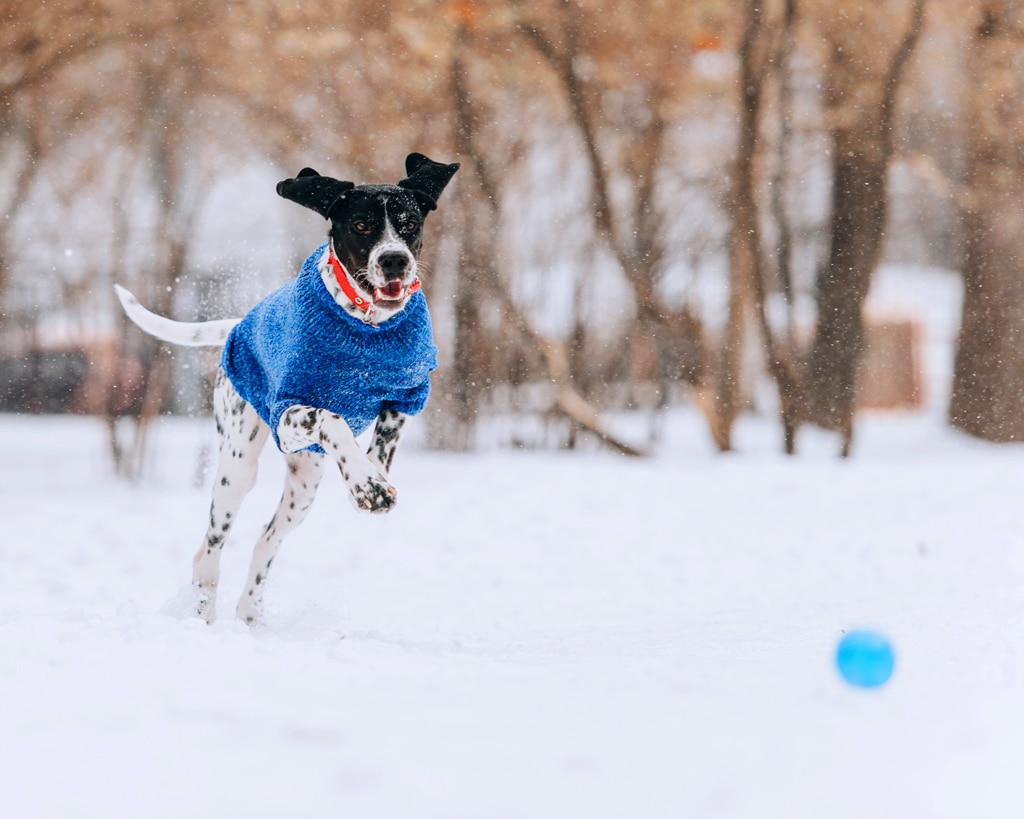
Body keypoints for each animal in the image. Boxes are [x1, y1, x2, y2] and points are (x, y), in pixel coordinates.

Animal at [115, 153, 460, 622]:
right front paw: (366, 483)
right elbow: (331, 418)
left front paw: (369, 480)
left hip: (304, 483)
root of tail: (238, 327)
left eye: (408, 223)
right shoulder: (289, 413)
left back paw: (250, 613)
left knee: (266, 540)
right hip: (237, 467)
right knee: (209, 548)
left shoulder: (407, 393)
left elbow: (381, 446)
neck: (367, 326)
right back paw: (202, 611)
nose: (394, 260)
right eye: (361, 225)